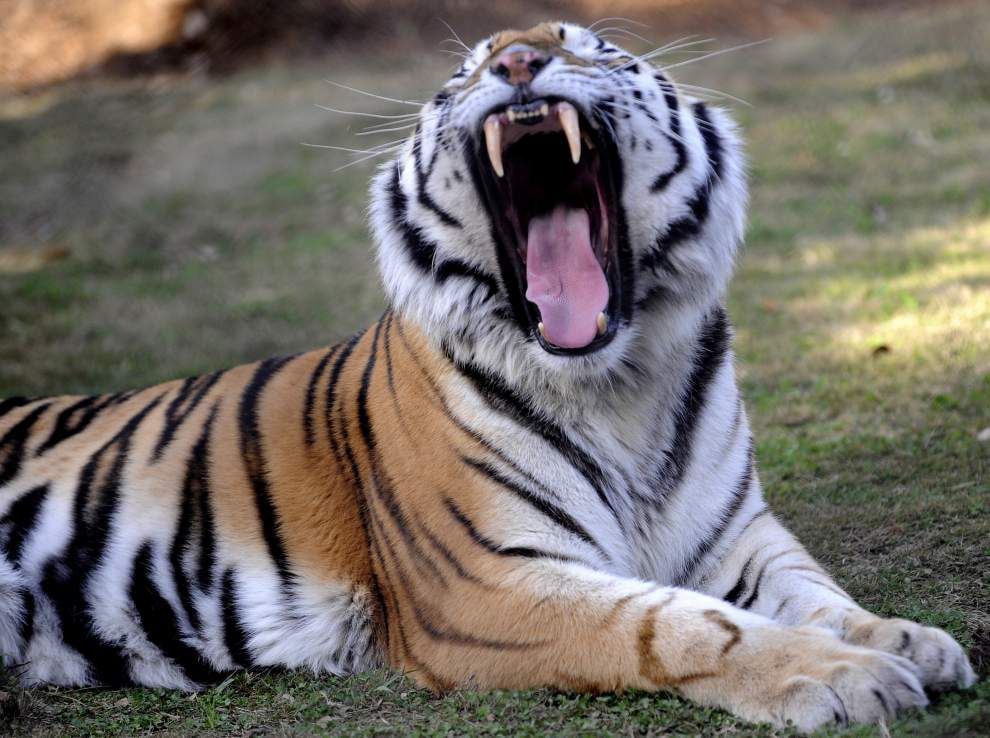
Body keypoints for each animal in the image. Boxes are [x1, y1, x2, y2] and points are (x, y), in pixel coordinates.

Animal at [0, 20, 976, 728]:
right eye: (465, 72)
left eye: (590, 44)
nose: (517, 57)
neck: (619, 384)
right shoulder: (485, 583)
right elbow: (680, 623)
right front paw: (846, 677)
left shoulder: (736, 538)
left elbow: (820, 595)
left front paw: (908, 641)